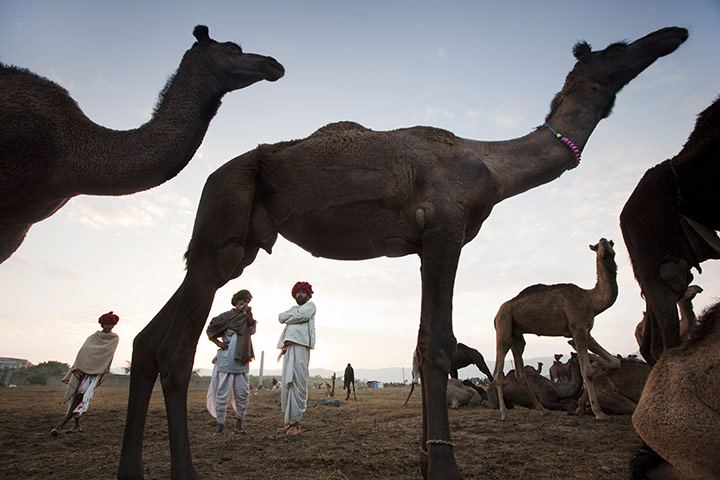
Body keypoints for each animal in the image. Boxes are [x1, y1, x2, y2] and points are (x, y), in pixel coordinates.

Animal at [492, 238, 622, 421]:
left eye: (610, 243)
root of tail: (496, 314)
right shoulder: (578, 328)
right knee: (499, 368)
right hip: (503, 325)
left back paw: (543, 409)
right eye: (597, 246)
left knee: (520, 370)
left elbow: (615, 361)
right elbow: (587, 371)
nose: (604, 244)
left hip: (516, 333)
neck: (591, 300)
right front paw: (599, 413)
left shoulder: (586, 331)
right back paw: (504, 413)